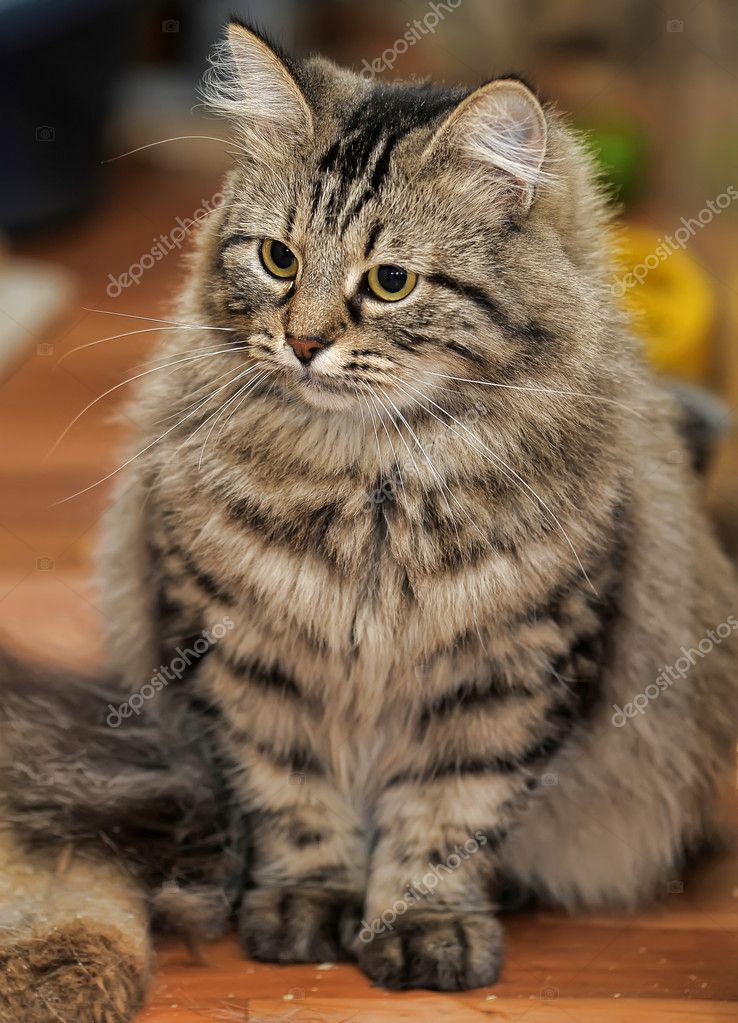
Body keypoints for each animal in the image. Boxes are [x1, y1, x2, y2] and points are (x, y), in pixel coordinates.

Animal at [1, 18, 736, 1023]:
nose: (305, 342)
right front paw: (310, 908)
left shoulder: (506, 674)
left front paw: (422, 927)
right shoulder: (246, 659)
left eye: (390, 282)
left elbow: (446, 819)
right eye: (278, 259)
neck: (376, 486)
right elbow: (294, 799)